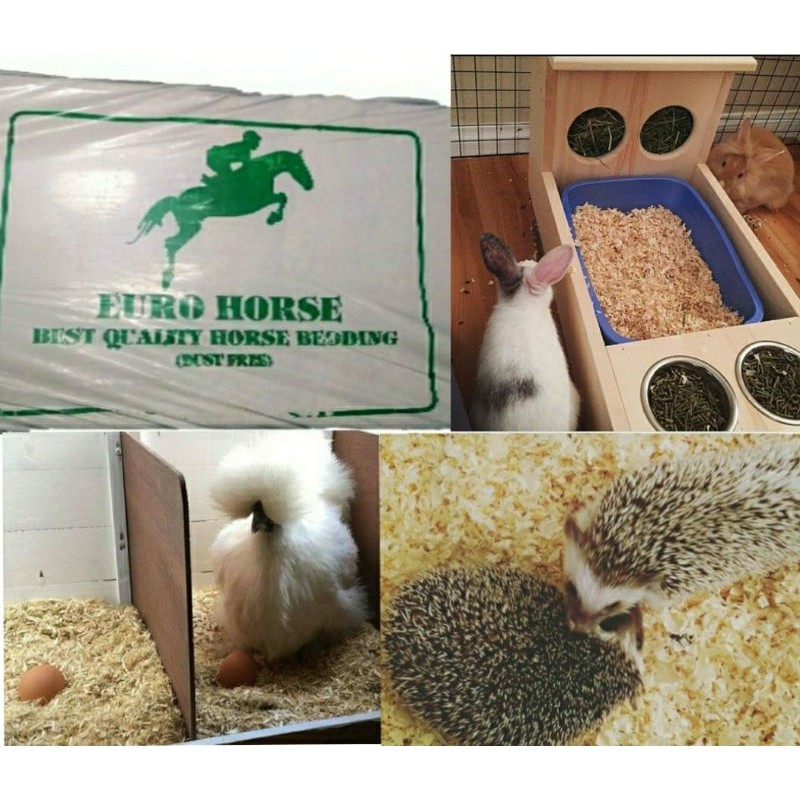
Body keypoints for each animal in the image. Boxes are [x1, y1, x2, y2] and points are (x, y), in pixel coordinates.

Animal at [129, 149, 314, 289]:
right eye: (299, 165)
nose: (310, 185)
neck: (261, 173)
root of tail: (176, 199)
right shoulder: (257, 201)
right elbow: (282, 196)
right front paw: (273, 218)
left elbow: (282, 196)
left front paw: (274, 217)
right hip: (191, 226)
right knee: (171, 243)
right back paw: (167, 278)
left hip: (190, 226)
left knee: (171, 243)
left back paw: (166, 278)